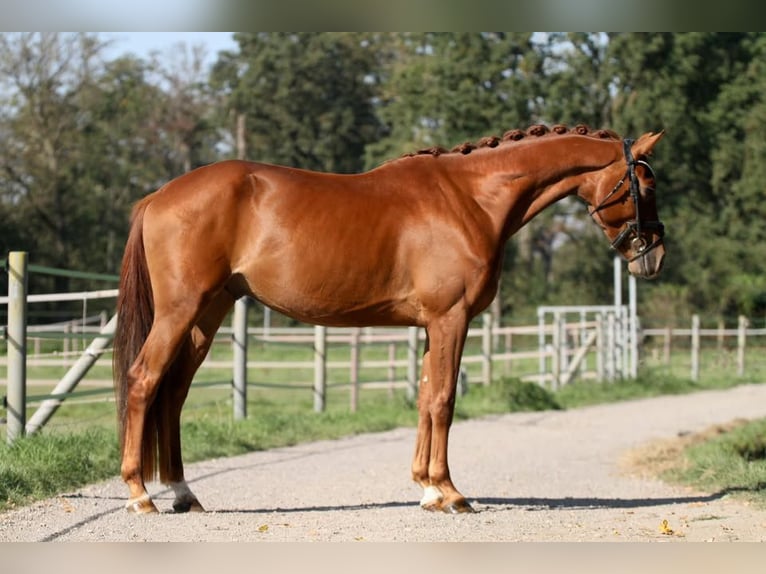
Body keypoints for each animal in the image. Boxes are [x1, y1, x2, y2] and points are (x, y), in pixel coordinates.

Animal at [113, 123, 665, 514]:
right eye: (644, 184)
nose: (653, 257)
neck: (471, 198)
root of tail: (158, 196)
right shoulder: (451, 320)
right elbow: (444, 401)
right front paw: (451, 493)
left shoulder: (431, 327)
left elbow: (424, 399)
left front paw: (427, 489)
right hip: (181, 311)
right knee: (143, 381)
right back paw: (141, 495)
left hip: (208, 314)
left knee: (173, 393)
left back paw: (183, 493)